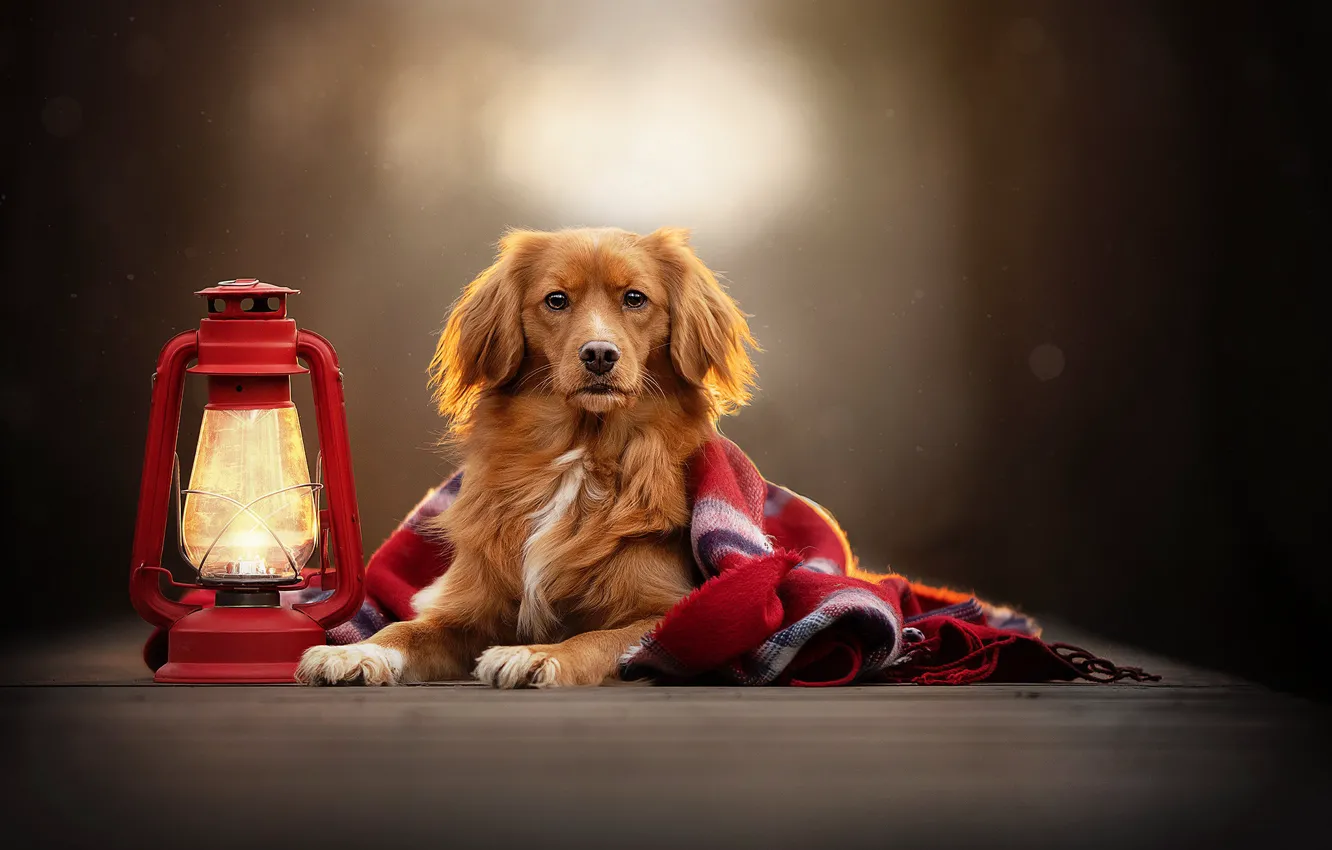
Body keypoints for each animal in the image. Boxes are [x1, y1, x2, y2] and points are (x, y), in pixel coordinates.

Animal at [303, 227, 761, 692]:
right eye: (556, 300)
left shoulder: (669, 615)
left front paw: (536, 654)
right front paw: (355, 651)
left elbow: (595, 638)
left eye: (635, 298)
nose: (599, 354)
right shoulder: (469, 608)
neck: (581, 451)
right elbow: (406, 629)